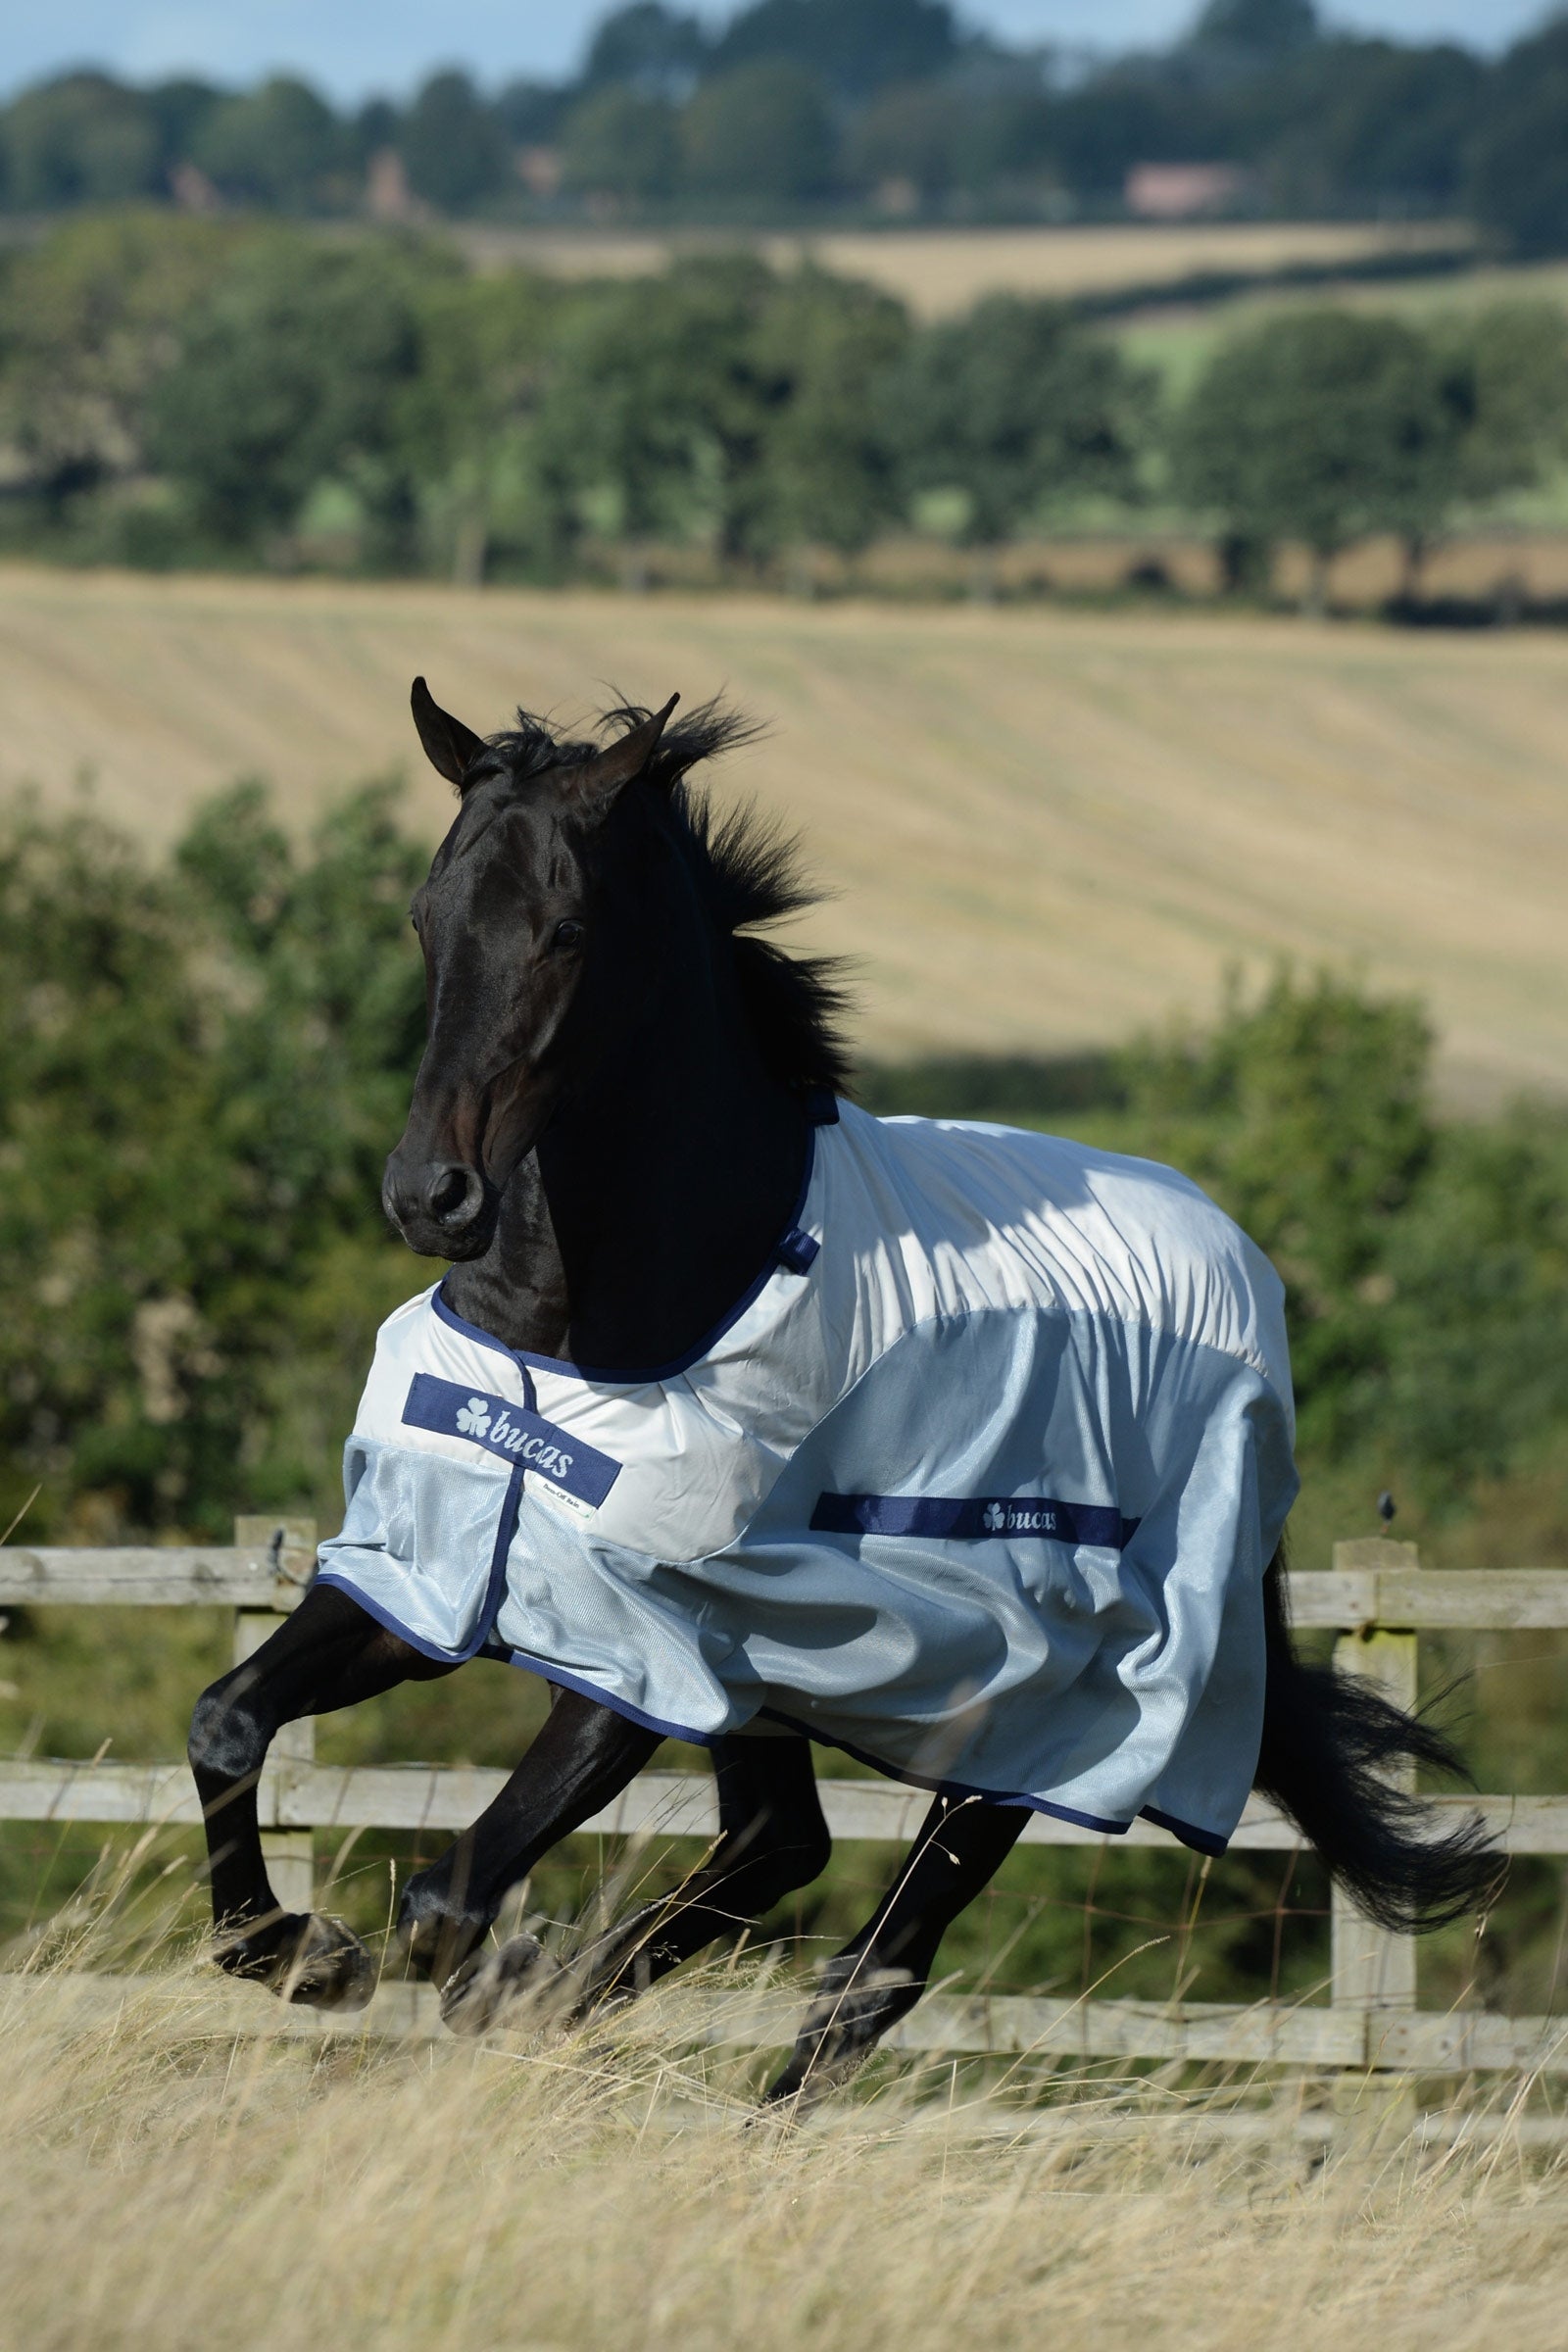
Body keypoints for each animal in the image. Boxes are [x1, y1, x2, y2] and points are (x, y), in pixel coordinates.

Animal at [188, 680, 1498, 2104]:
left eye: (565, 928)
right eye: (427, 916)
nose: (432, 1194)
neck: (593, 1335)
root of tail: (1246, 1279)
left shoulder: (645, 1648)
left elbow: (446, 1897)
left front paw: (469, 1975)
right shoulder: (444, 1574)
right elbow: (229, 1724)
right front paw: (310, 1957)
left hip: (1037, 1706)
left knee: (876, 1965)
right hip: (787, 1684)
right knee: (783, 1849)